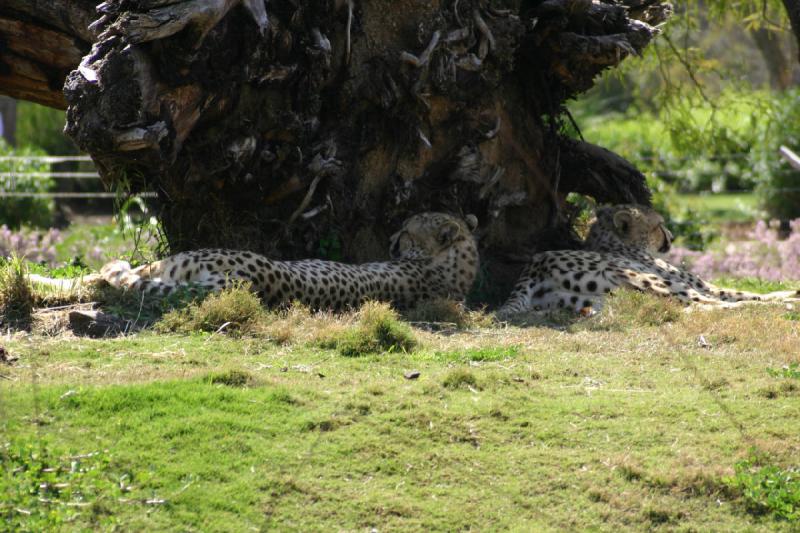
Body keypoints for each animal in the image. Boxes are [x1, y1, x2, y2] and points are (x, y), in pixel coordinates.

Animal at [496, 205, 796, 318]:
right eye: (659, 225)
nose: (672, 236)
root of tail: (536, 264)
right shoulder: (698, 283)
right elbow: (741, 292)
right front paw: (787, 295)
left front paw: (788, 292)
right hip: (651, 280)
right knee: (704, 304)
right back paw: (787, 306)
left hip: (591, 300)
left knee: (688, 308)